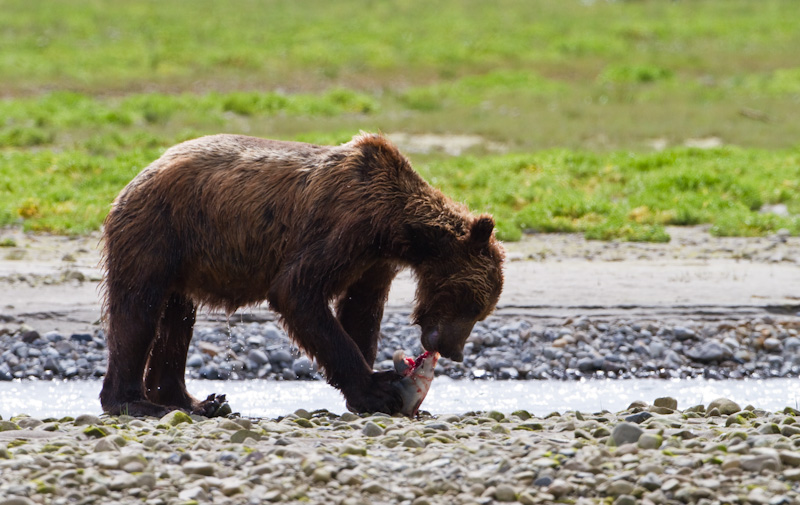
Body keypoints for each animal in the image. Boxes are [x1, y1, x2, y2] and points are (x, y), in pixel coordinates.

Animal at [98, 132, 500, 416]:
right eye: (471, 303)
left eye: (480, 310)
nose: (454, 351)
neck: (398, 230)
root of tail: (136, 178)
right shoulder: (345, 227)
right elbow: (297, 291)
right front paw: (379, 389)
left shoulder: (374, 261)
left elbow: (361, 311)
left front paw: (370, 386)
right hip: (158, 232)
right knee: (137, 313)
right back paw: (135, 402)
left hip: (183, 259)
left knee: (177, 320)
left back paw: (196, 401)